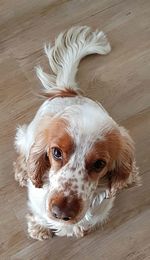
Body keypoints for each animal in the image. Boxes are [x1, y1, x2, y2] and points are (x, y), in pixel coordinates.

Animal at [14, 25, 139, 240]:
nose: (61, 213)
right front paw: (40, 228)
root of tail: (68, 91)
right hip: (27, 135)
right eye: (56, 152)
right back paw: (23, 172)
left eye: (99, 164)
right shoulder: (38, 201)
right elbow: (39, 215)